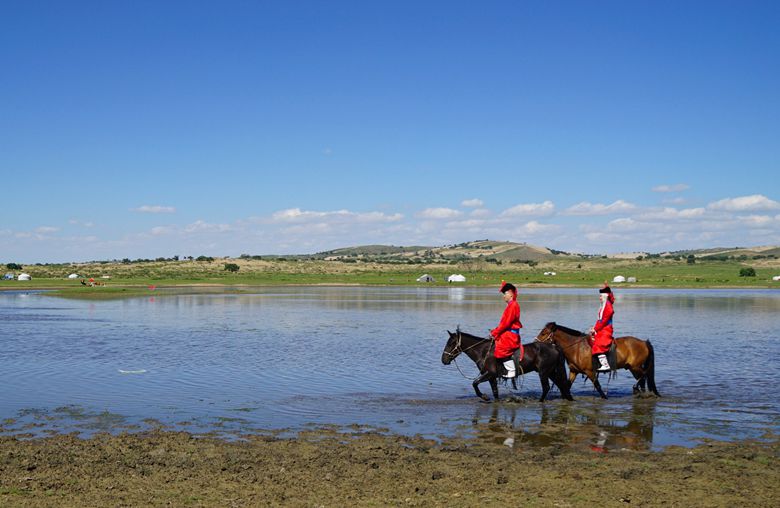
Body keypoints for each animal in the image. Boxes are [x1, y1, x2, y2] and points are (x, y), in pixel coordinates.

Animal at [442, 332, 576, 402]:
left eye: (451, 343)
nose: (443, 360)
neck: (483, 351)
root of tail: (554, 347)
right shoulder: (491, 377)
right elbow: (495, 391)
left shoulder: (490, 374)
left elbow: (474, 383)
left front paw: (484, 396)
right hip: (551, 372)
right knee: (561, 385)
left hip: (544, 372)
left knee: (547, 387)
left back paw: (540, 401)